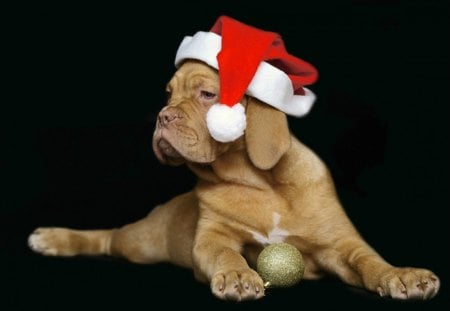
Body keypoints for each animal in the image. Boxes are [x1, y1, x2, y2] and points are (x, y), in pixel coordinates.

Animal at [28, 60, 440, 302]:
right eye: (168, 94)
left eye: (207, 94)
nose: (162, 116)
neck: (260, 183)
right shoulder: (213, 237)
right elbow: (225, 252)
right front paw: (238, 274)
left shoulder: (339, 245)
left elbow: (369, 260)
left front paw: (401, 275)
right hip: (141, 242)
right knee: (109, 238)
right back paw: (53, 238)